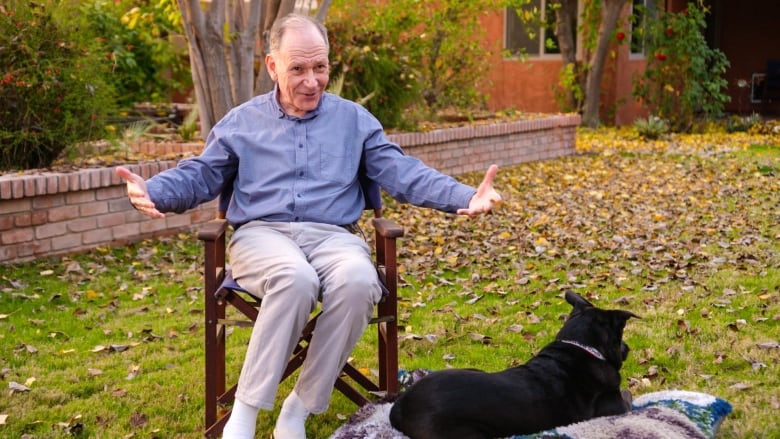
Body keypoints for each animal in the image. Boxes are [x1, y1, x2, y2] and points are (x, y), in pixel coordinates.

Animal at [390, 290, 640, 438]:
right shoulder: (617, 408)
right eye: (620, 337)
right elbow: (628, 395)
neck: (582, 346)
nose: (628, 348)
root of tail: (399, 408)